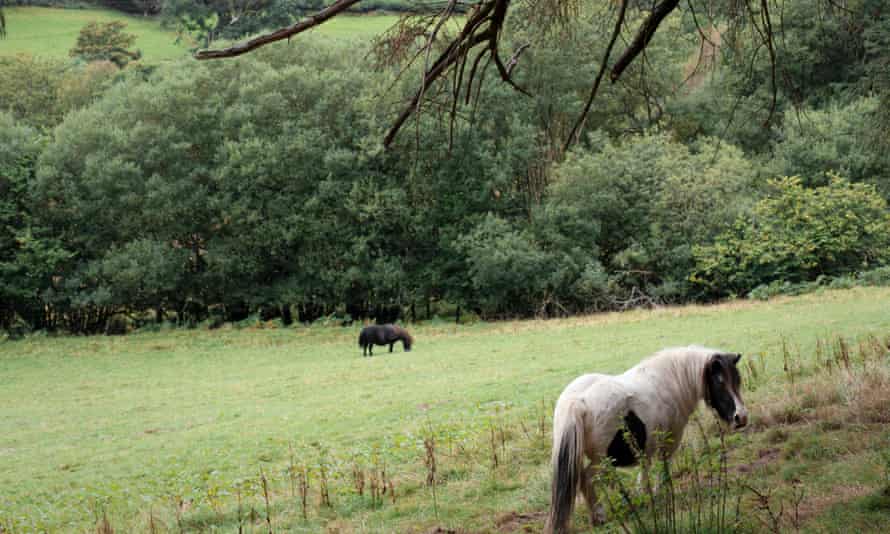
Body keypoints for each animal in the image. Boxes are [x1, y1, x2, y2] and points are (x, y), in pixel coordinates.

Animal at [544, 346, 744, 532]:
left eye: (737, 380)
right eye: (719, 381)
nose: (741, 417)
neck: (671, 380)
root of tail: (579, 401)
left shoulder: (645, 449)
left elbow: (645, 470)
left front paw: (645, 497)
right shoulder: (669, 441)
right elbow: (662, 469)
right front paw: (659, 494)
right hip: (602, 461)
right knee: (587, 479)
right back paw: (599, 517)